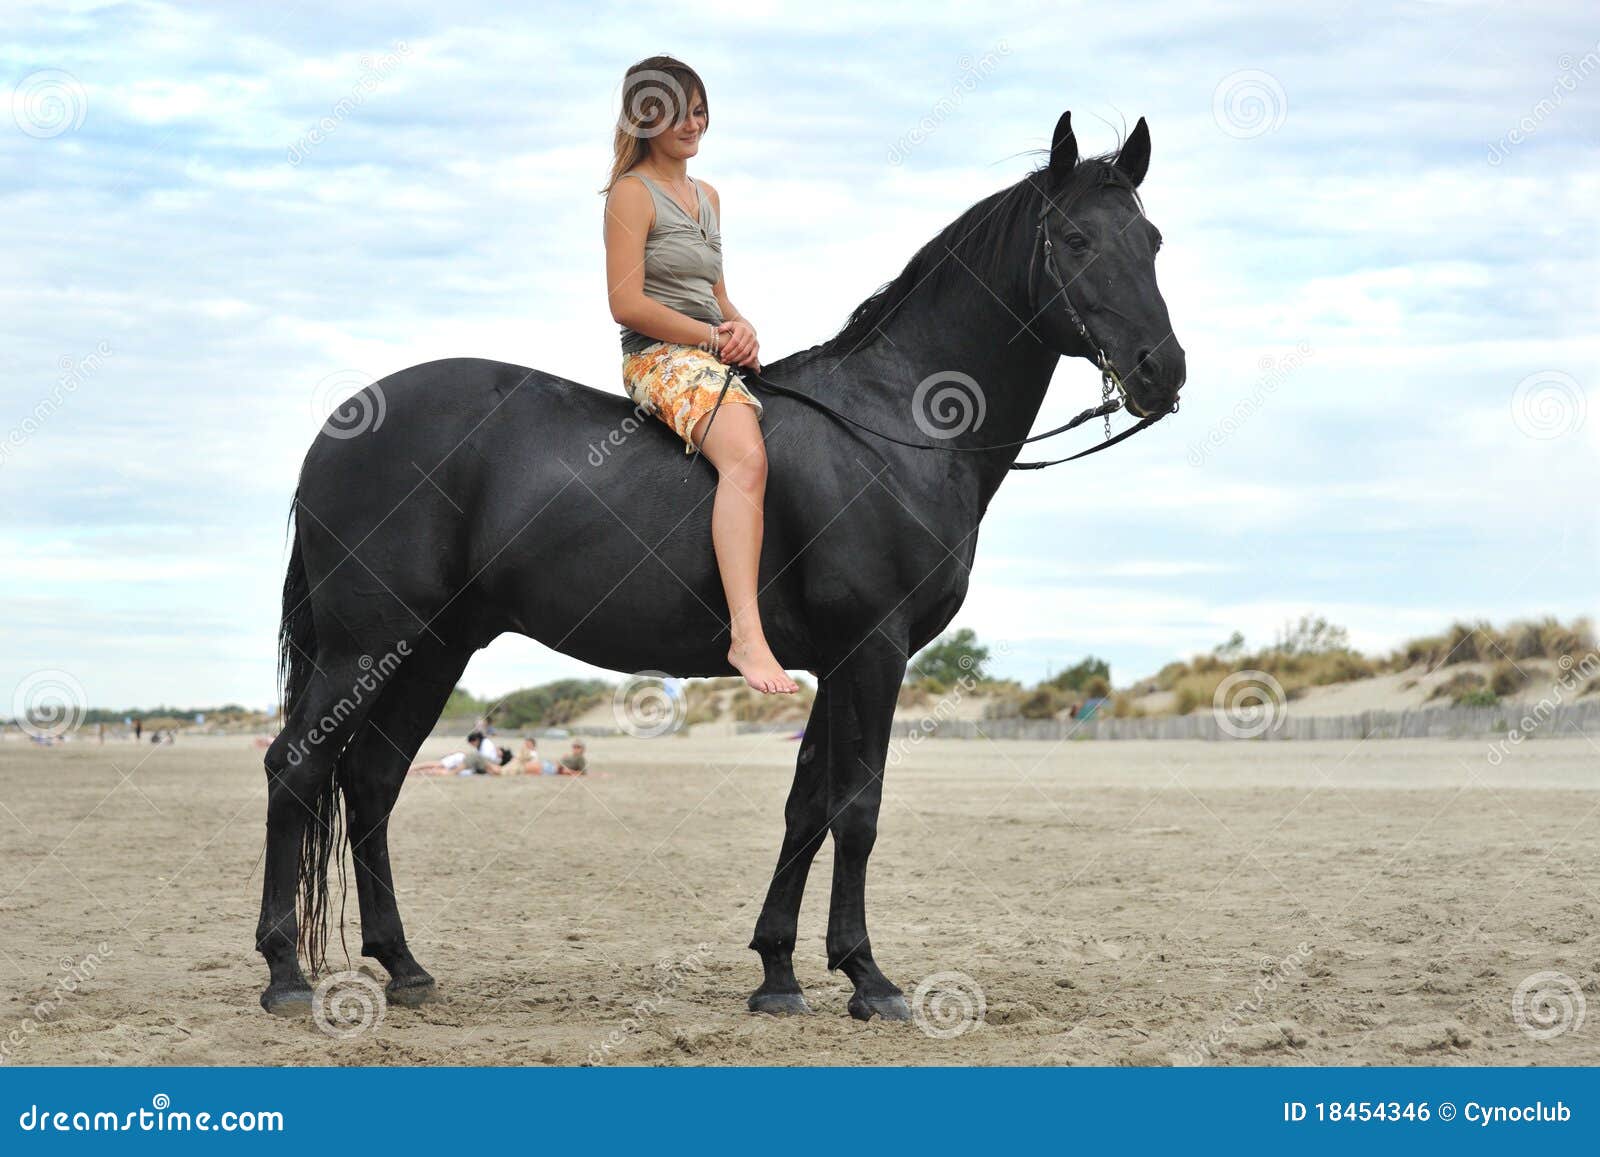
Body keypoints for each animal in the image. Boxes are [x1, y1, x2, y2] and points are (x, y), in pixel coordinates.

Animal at [255, 110, 1186, 1021]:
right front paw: (869, 978)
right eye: (1073, 239)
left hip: (432, 647)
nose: (1161, 371)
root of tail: (348, 420)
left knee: (372, 780)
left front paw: (779, 973)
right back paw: (286, 973)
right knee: (297, 769)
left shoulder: (836, 662)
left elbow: (807, 805)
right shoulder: (873, 648)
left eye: (1151, 240)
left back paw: (403, 964)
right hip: (365, 642)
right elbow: (858, 807)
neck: (896, 422)